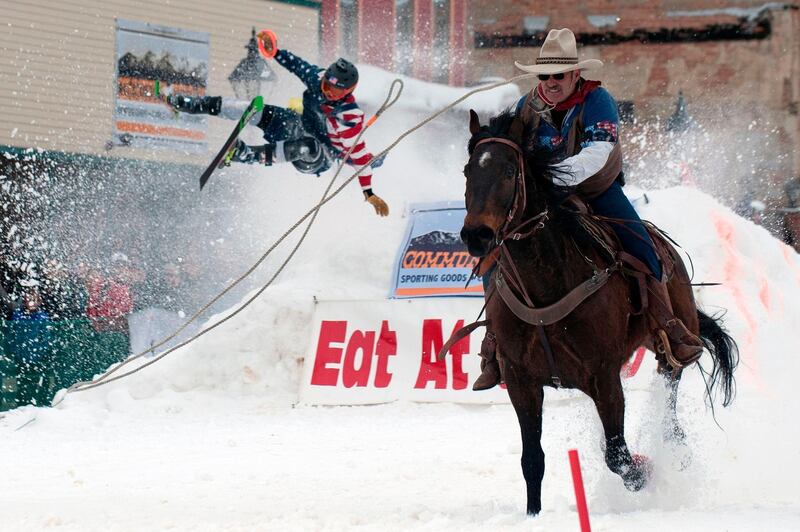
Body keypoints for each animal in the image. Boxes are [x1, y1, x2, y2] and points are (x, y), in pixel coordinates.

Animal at [460, 109, 736, 516]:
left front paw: (644, 473)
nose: (476, 235)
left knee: (671, 381)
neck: (546, 284)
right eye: (468, 170)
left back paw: (674, 446)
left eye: (509, 171)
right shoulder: (520, 379)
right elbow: (532, 460)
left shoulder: (604, 375)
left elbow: (618, 456)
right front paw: (533, 515)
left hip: (674, 336)